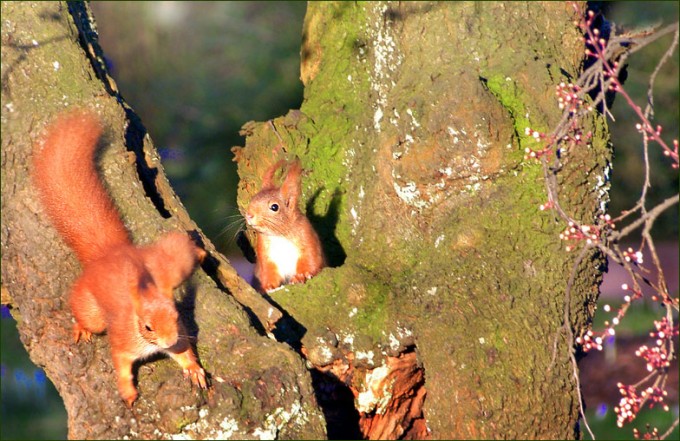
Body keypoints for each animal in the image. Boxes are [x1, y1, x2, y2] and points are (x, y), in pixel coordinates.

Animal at [31, 110, 207, 407]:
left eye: (176, 316)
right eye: (147, 327)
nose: (168, 341)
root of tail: (109, 253)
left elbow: (184, 352)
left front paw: (193, 368)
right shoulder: (123, 341)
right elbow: (121, 364)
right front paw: (127, 391)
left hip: (165, 263)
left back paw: (201, 252)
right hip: (94, 310)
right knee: (87, 317)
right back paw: (81, 328)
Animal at [245, 159, 326, 293]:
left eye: (274, 207)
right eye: (252, 199)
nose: (249, 215)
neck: (279, 236)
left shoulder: (307, 238)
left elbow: (311, 261)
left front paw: (301, 276)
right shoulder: (266, 256)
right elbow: (269, 272)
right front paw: (268, 286)